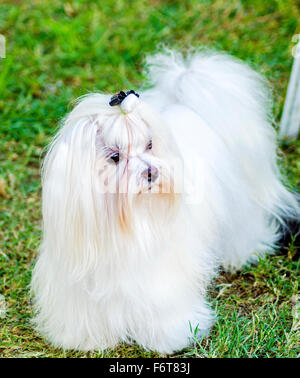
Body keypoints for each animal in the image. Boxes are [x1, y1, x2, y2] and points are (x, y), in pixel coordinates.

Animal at [31, 48, 300, 352]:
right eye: (115, 157)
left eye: (149, 144)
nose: (152, 172)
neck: (125, 224)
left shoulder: (160, 280)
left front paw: (172, 335)